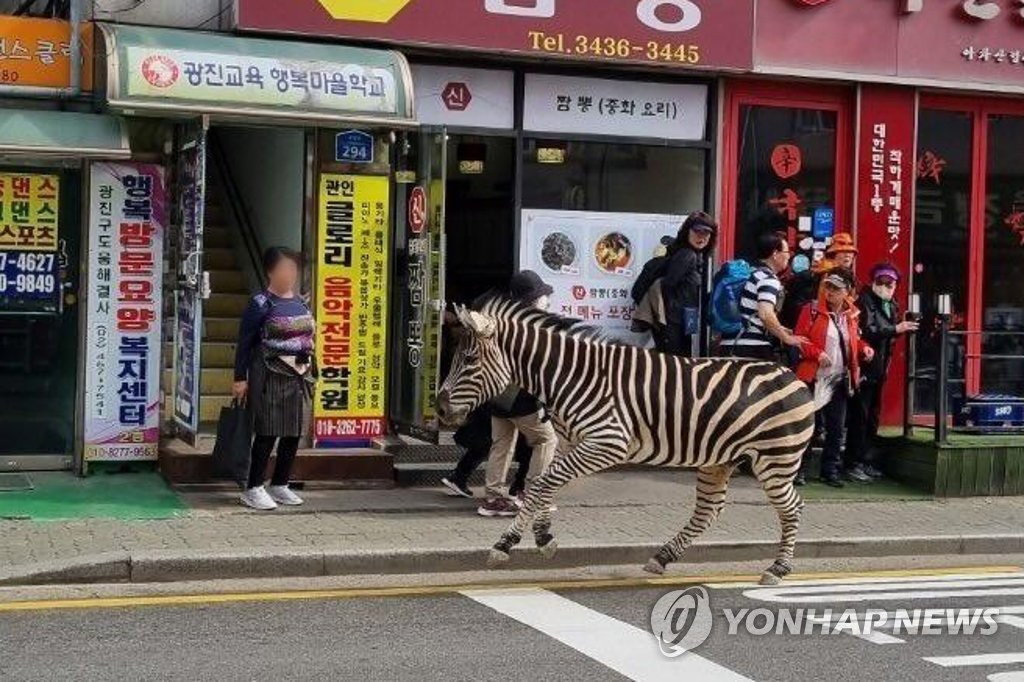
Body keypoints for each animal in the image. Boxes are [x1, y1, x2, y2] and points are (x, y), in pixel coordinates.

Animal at [436, 292, 819, 585]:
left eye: (469, 359)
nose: (439, 408)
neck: (571, 377)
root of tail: (791, 375)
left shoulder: (608, 442)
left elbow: (543, 483)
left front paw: (507, 543)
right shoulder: (571, 443)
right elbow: (544, 482)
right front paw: (542, 537)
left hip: (776, 459)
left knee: (792, 507)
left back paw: (778, 569)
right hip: (719, 459)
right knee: (709, 510)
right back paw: (662, 558)